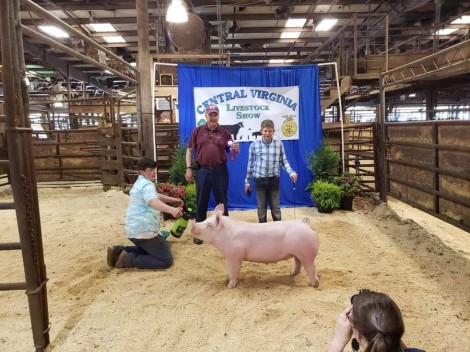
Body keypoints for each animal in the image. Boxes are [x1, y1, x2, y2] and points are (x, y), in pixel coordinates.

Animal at [190, 204, 320, 288]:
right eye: (205, 219)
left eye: (209, 225)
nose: (192, 225)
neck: (226, 235)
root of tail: (305, 224)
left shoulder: (234, 256)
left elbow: (233, 272)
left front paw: (230, 287)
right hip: (298, 253)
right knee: (298, 263)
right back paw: (292, 273)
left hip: (307, 254)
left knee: (311, 268)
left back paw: (313, 285)